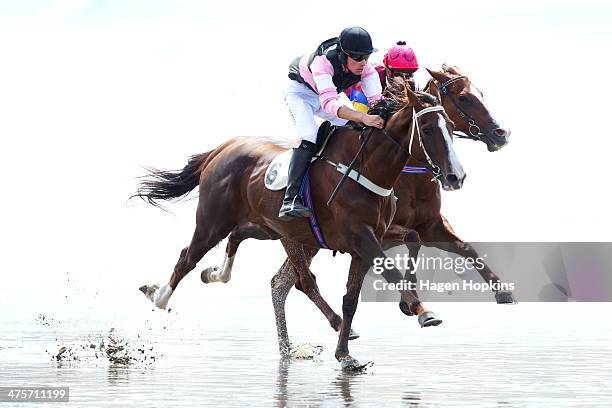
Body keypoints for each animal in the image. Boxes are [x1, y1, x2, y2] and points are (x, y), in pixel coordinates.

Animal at [135, 81, 464, 368]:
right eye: (429, 130)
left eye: (451, 127)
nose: (455, 176)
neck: (366, 169)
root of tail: (223, 149)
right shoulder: (361, 237)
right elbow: (392, 273)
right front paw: (423, 312)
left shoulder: (364, 245)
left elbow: (351, 299)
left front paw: (345, 355)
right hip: (212, 222)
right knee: (189, 257)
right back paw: (159, 296)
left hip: (270, 228)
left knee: (240, 240)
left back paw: (216, 274)